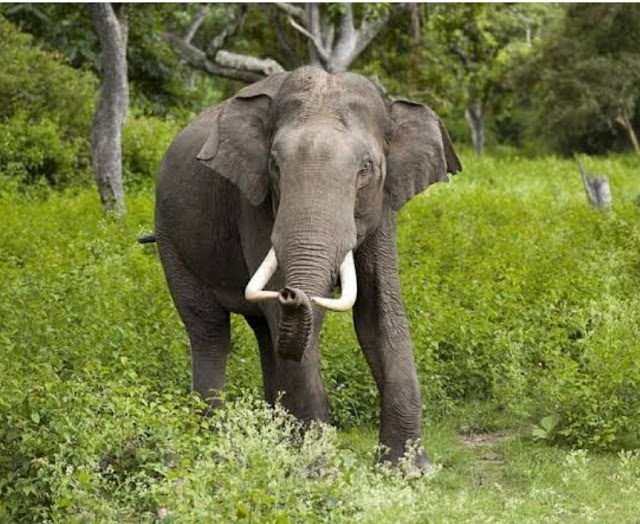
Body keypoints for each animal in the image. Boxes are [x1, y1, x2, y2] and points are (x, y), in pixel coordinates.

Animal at [155, 65, 462, 470]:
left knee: (265, 334)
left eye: (366, 169)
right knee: (210, 330)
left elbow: (378, 311)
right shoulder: (253, 202)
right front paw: (316, 469)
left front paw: (409, 472)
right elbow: (300, 322)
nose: (291, 292)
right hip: (171, 240)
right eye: (275, 166)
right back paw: (215, 446)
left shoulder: (383, 206)